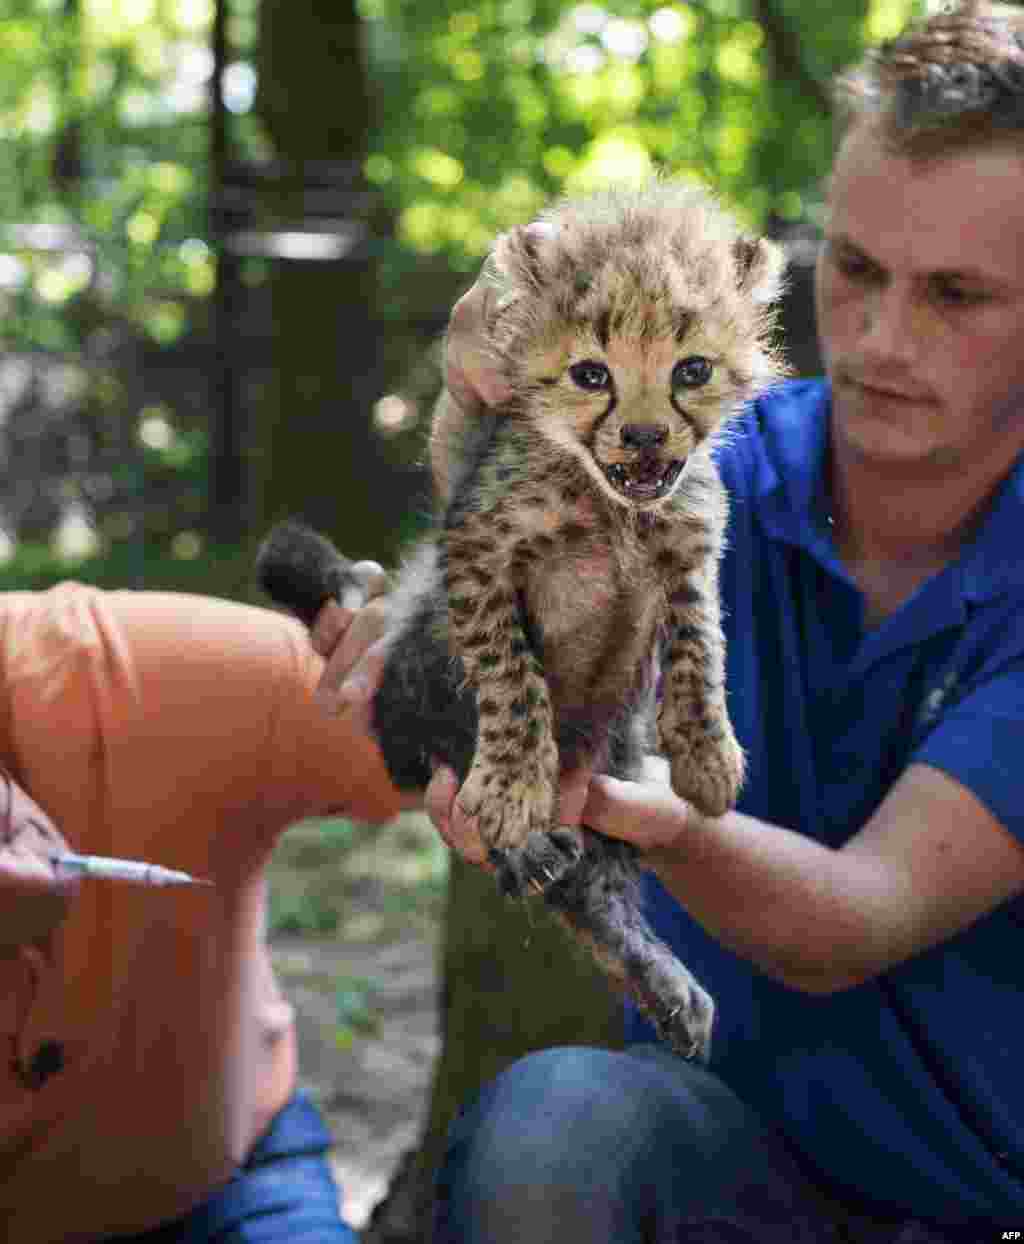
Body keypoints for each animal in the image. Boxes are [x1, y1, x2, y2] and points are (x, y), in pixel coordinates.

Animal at [257, 180, 787, 1059]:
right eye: (591, 373)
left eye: (692, 370)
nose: (645, 435)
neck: (611, 508)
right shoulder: (477, 555)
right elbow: (511, 679)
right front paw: (510, 787)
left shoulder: (691, 551)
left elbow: (699, 648)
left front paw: (708, 756)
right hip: (425, 673)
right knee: (451, 752)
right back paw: (526, 845)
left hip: (614, 749)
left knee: (598, 890)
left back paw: (663, 979)